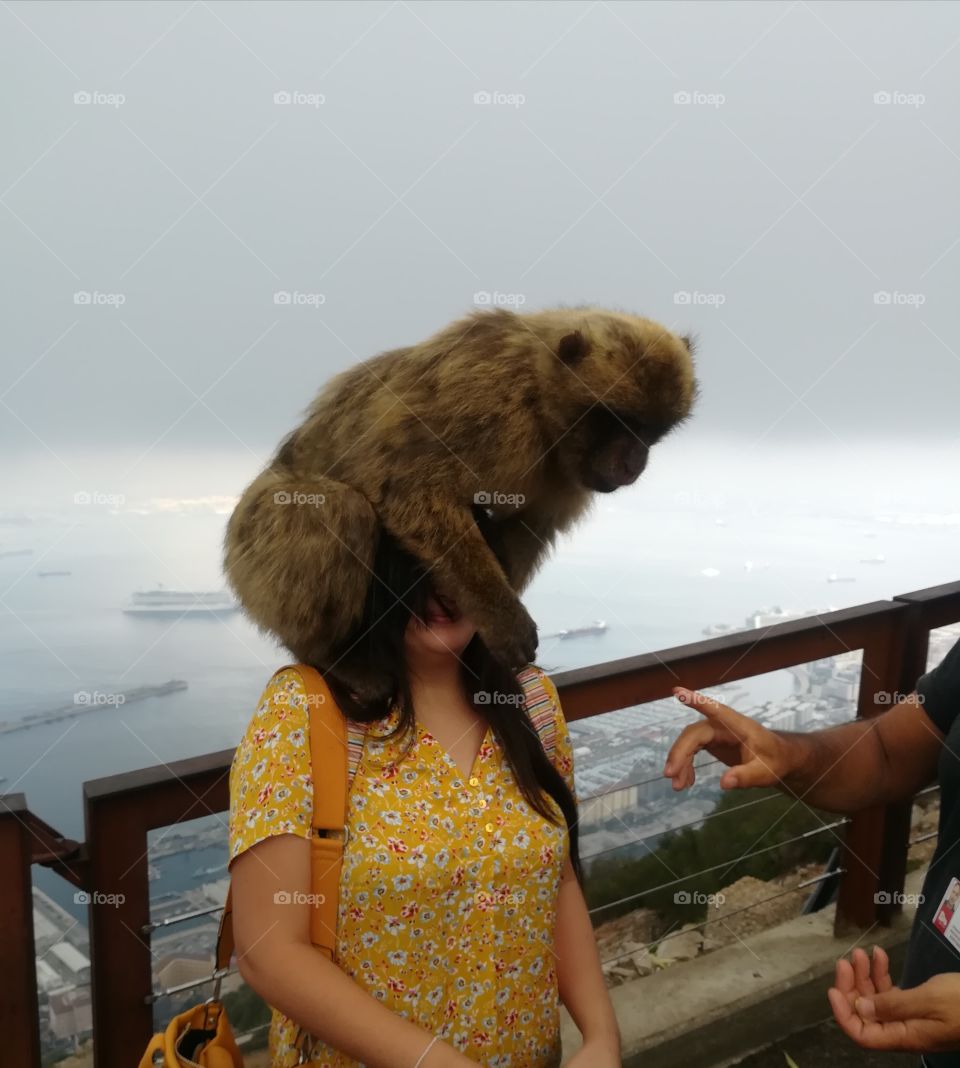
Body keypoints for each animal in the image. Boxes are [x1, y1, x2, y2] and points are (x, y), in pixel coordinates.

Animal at [223, 305, 698, 701]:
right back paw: (329, 656)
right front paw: (502, 620)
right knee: (334, 509)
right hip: (251, 542)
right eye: (619, 421)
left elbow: (525, 524)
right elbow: (413, 491)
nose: (634, 461)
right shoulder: (488, 404)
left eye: (651, 430)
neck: (540, 403)